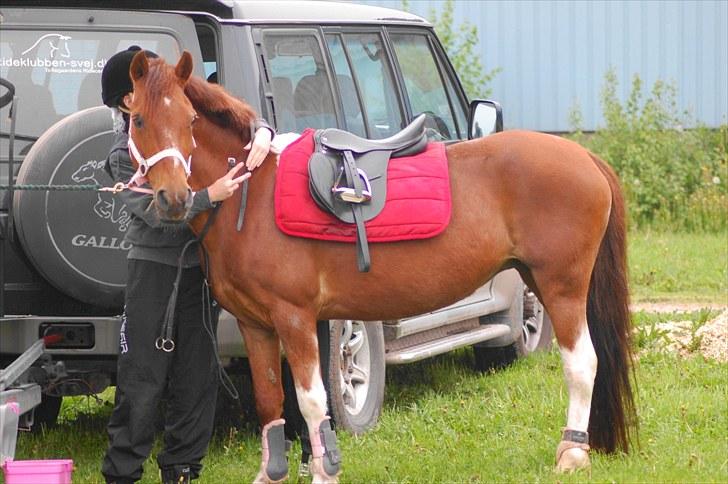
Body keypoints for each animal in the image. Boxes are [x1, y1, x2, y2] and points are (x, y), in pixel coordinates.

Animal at [126, 51, 636, 482]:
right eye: (139, 119)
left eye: (191, 120)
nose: (173, 198)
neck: (251, 193)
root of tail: (585, 156)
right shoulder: (257, 326)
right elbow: (270, 400)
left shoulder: (296, 319)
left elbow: (313, 403)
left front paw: (323, 472)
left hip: (562, 287)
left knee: (582, 363)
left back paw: (572, 453)